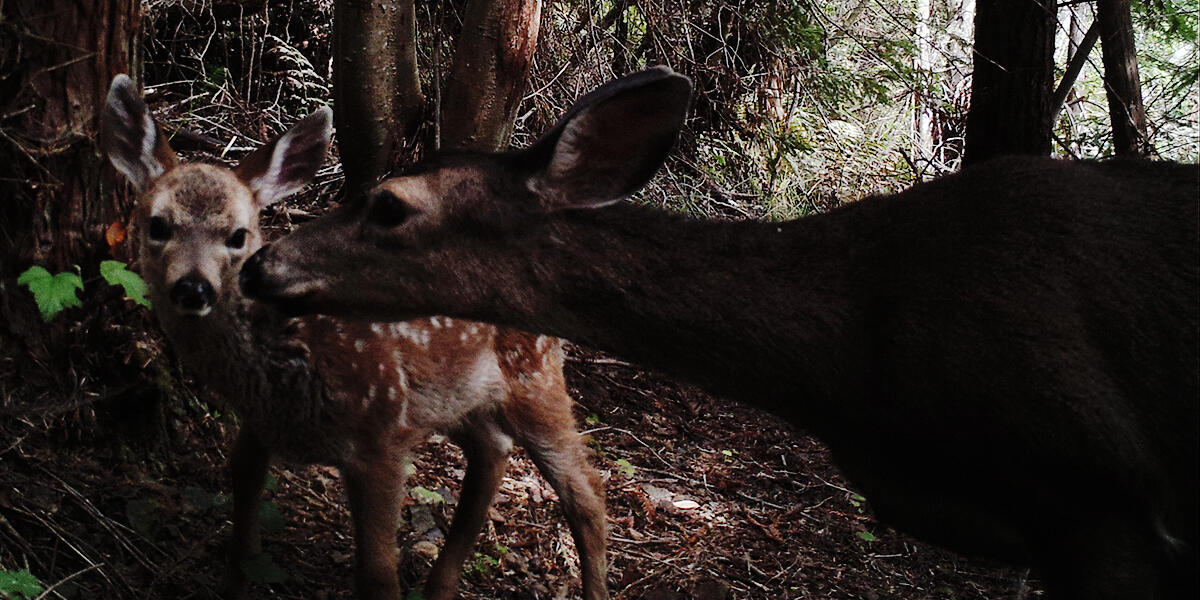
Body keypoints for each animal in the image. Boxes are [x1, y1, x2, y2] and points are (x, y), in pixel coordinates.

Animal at [100, 73, 609, 600]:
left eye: (238, 235)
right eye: (158, 225)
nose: (193, 287)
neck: (286, 357)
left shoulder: (378, 434)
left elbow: (378, 576)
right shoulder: (261, 426)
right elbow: (240, 537)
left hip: (534, 374)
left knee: (586, 493)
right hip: (456, 394)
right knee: (493, 451)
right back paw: (440, 586)